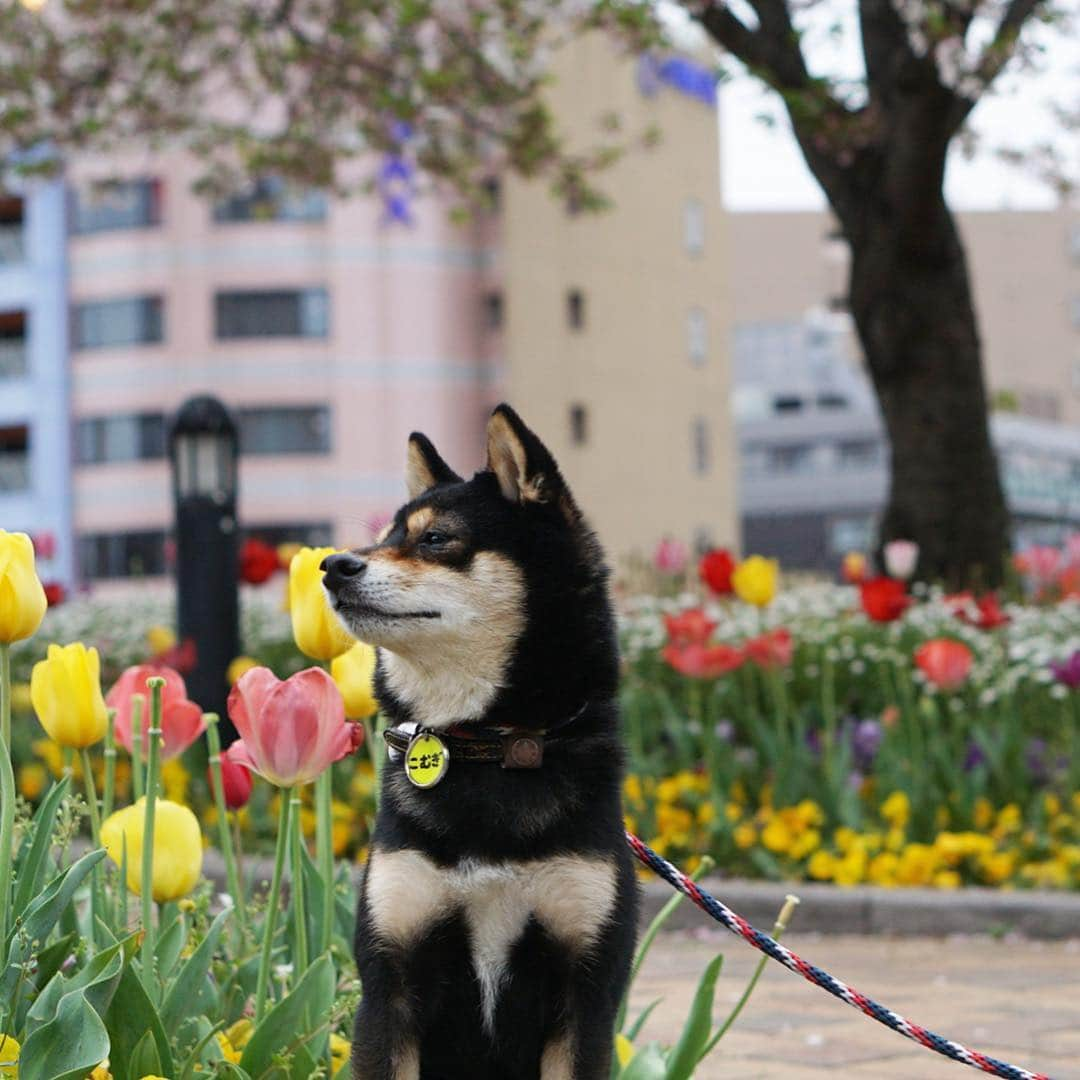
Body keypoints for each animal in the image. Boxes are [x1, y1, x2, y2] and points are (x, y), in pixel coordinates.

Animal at [324, 406, 635, 1080]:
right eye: (384, 536)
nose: (332, 566)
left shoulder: (585, 992)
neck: (491, 744)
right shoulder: (391, 982)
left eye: (436, 539)